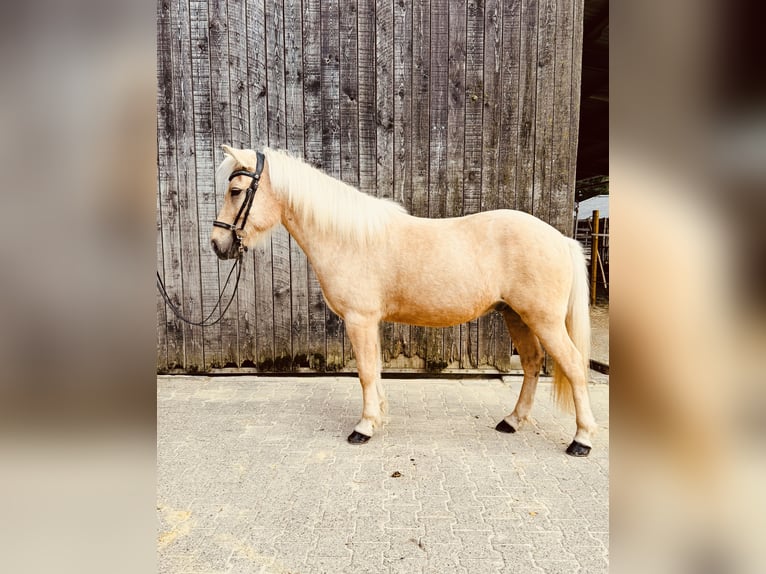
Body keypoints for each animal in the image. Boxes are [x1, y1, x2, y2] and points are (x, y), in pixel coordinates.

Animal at [212, 146, 600, 456]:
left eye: (235, 190)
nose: (218, 244)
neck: (349, 240)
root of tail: (561, 239)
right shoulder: (368, 322)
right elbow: (375, 369)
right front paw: (377, 416)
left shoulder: (360, 319)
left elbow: (366, 372)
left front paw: (363, 427)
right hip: (516, 315)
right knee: (533, 364)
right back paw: (512, 421)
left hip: (544, 320)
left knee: (574, 366)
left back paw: (581, 440)